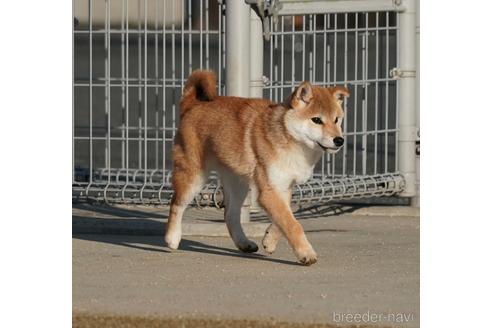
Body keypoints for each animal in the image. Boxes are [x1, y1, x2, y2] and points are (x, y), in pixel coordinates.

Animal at [166, 70, 350, 266]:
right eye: (316, 120)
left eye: (337, 119)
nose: (339, 140)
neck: (290, 140)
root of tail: (192, 105)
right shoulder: (269, 191)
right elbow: (293, 224)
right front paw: (306, 253)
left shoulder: (283, 187)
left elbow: (284, 219)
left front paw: (269, 240)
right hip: (194, 176)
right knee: (177, 204)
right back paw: (172, 238)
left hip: (237, 184)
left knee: (230, 215)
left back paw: (244, 243)